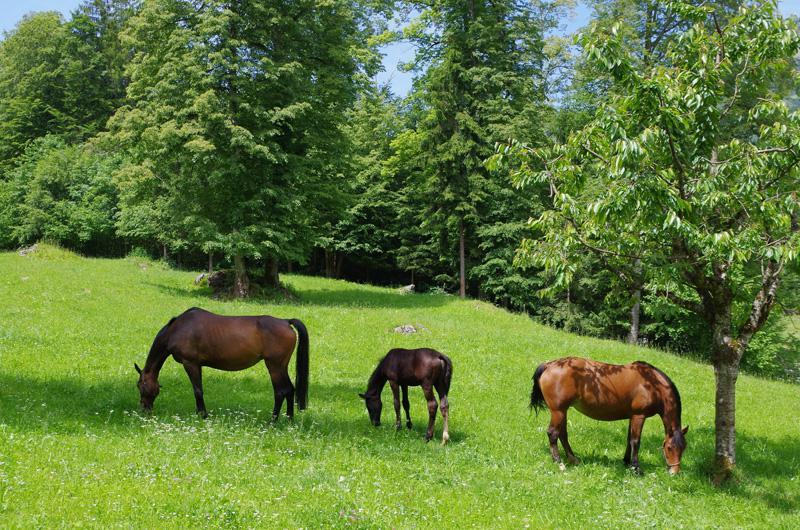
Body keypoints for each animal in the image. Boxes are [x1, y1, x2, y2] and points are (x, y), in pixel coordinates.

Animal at [135, 307, 309, 420]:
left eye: (140, 386)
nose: (144, 409)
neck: (178, 329)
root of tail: (285, 322)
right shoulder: (197, 365)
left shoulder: (190, 363)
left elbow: (197, 390)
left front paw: (203, 415)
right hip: (281, 366)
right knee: (290, 390)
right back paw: (289, 419)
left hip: (274, 366)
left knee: (281, 391)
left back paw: (273, 421)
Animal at [530, 357, 688, 474]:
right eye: (669, 448)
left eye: (684, 448)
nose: (675, 472)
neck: (652, 384)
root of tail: (550, 364)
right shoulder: (639, 416)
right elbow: (636, 441)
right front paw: (636, 468)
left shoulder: (632, 416)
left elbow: (629, 439)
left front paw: (626, 462)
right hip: (558, 411)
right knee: (553, 433)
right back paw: (558, 462)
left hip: (563, 411)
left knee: (563, 434)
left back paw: (573, 459)